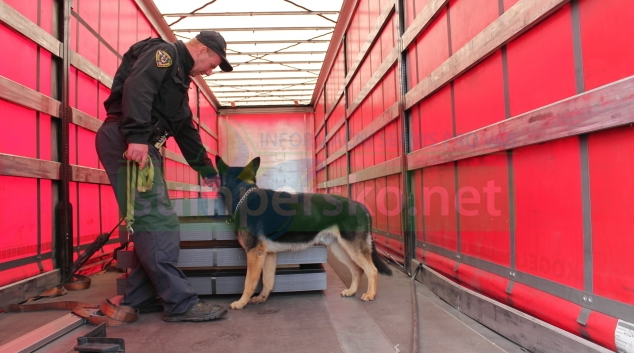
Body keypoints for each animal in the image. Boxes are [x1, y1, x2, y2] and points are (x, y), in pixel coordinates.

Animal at [216, 155, 390, 310]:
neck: (243, 194)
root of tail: (361, 206)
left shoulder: (254, 253)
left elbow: (248, 282)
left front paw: (241, 302)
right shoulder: (268, 255)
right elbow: (267, 280)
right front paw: (262, 298)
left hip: (353, 249)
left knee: (372, 270)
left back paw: (370, 294)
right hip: (341, 250)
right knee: (357, 270)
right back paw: (352, 291)